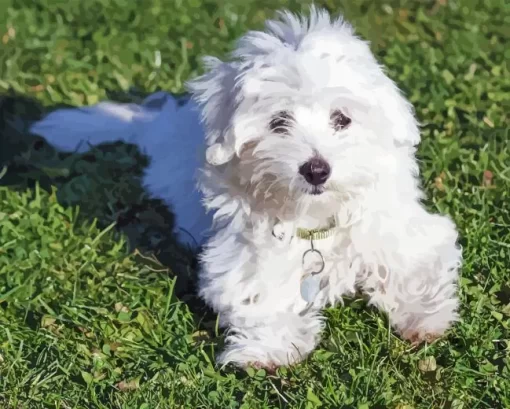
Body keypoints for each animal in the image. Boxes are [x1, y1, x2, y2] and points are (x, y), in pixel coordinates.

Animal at [30, 6, 462, 370]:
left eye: (342, 119)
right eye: (278, 122)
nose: (316, 170)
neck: (314, 216)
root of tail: (158, 126)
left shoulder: (400, 228)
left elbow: (414, 266)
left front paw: (424, 317)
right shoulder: (244, 253)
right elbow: (258, 292)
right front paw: (270, 349)